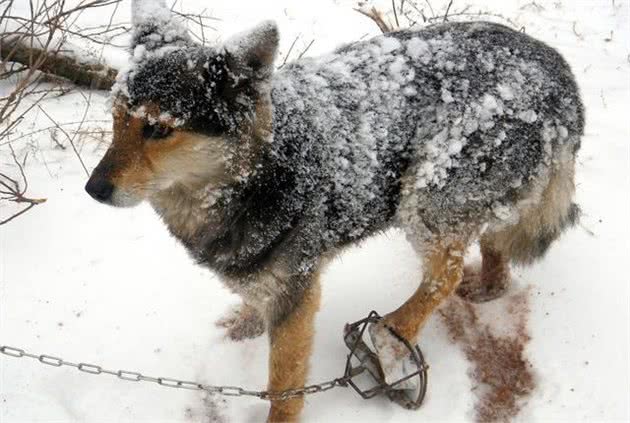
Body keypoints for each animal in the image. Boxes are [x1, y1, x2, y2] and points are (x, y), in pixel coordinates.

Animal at [85, 1, 588, 422]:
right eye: (116, 119)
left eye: (157, 129)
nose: (92, 189)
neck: (263, 171)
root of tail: (559, 71)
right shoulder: (264, 275)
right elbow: (253, 299)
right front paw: (246, 323)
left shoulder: (298, 293)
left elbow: (283, 385)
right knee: (491, 244)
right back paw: (489, 286)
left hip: (425, 197)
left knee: (444, 276)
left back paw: (390, 336)